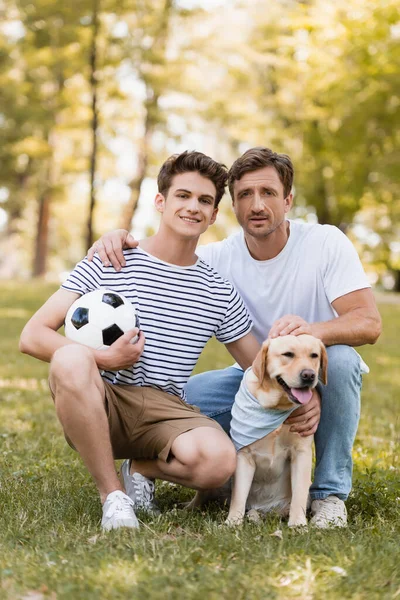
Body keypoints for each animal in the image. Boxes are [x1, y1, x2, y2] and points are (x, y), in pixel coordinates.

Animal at [227, 336, 326, 528]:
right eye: (288, 354)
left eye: (314, 355)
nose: (309, 375)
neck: (277, 406)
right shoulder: (243, 455)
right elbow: (239, 496)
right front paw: (232, 522)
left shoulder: (301, 453)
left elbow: (299, 495)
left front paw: (298, 524)